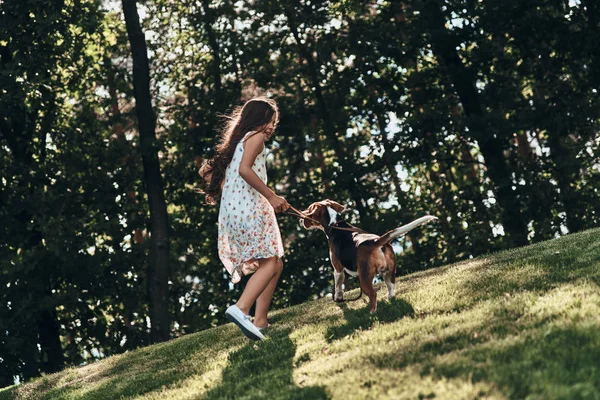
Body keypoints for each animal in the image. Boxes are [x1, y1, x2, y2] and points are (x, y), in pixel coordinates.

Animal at [300, 199, 436, 312]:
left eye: (309, 209)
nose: (301, 218)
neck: (335, 225)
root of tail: (375, 241)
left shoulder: (338, 269)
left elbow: (338, 286)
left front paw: (339, 299)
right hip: (389, 272)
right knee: (391, 287)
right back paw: (390, 299)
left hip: (364, 278)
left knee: (373, 294)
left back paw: (371, 312)